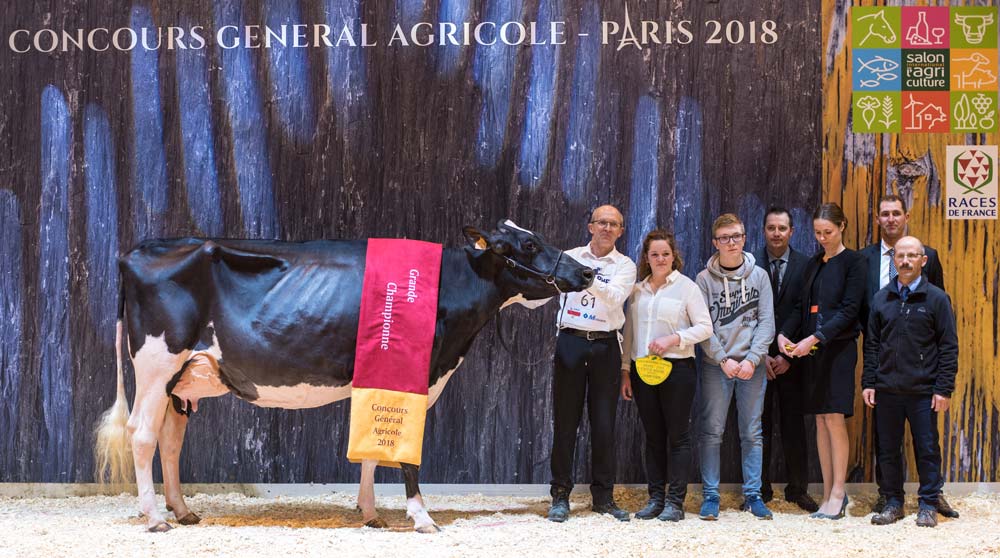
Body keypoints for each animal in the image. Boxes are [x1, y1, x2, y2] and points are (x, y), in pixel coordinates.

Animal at [92, 221, 592, 536]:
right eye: (527, 246)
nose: (586, 270)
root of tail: (137, 250)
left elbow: (372, 445)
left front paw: (371, 514)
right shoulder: (414, 378)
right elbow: (406, 454)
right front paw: (422, 517)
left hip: (182, 379)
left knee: (170, 438)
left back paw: (182, 510)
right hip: (156, 364)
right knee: (142, 435)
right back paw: (155, 518)